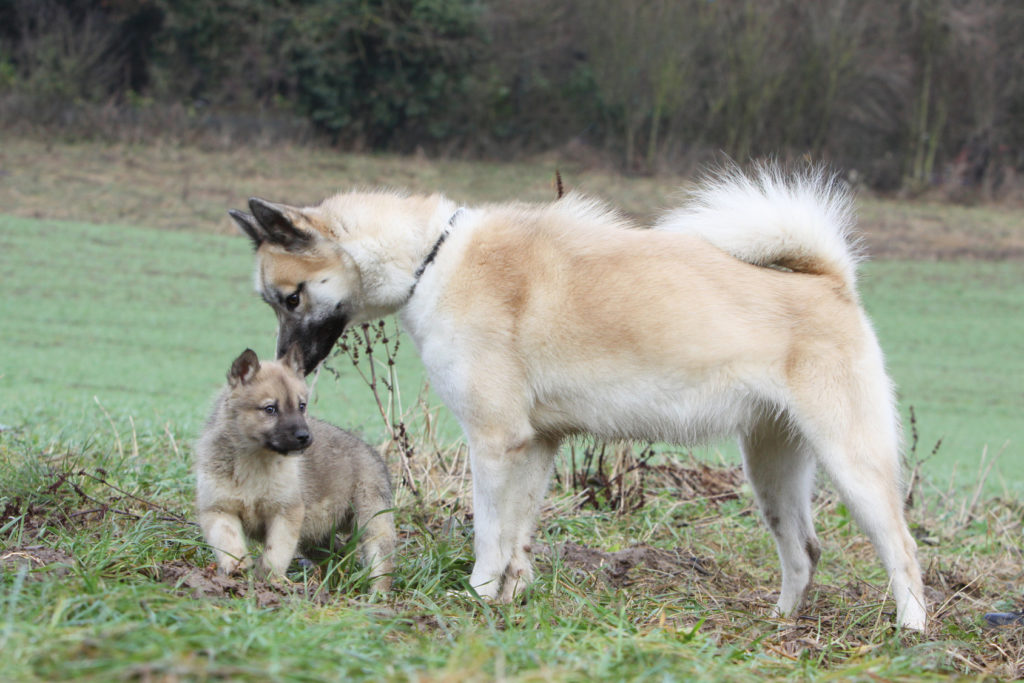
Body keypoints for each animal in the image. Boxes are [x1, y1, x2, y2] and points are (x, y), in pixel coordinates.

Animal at [194, 348, 395, 593]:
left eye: (302, 406)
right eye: (270, 409)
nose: (305, 437)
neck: (254, 460)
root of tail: (374, 453)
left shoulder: (286, 512)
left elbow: (276, 553)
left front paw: (267, 580)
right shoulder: (219, 509)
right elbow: (229, 542)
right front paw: (237, 569)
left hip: (372, 523)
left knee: (381, 565)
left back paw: (375, 596)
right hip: (313, 537)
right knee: (337, 555)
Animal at [230, 165, 929, 630]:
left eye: (291, 298)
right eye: (274, 301)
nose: (288, 367)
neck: (433, 259)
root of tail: (831, 282)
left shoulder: (494, 445)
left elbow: (489, 535)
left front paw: (478, 596)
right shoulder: (535, 447)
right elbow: (518, 538)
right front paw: (511, 599)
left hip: (852, 464)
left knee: (903, 551)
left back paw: (910, 631)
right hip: (772, 471)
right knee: (803, 553)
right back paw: (780, 623)